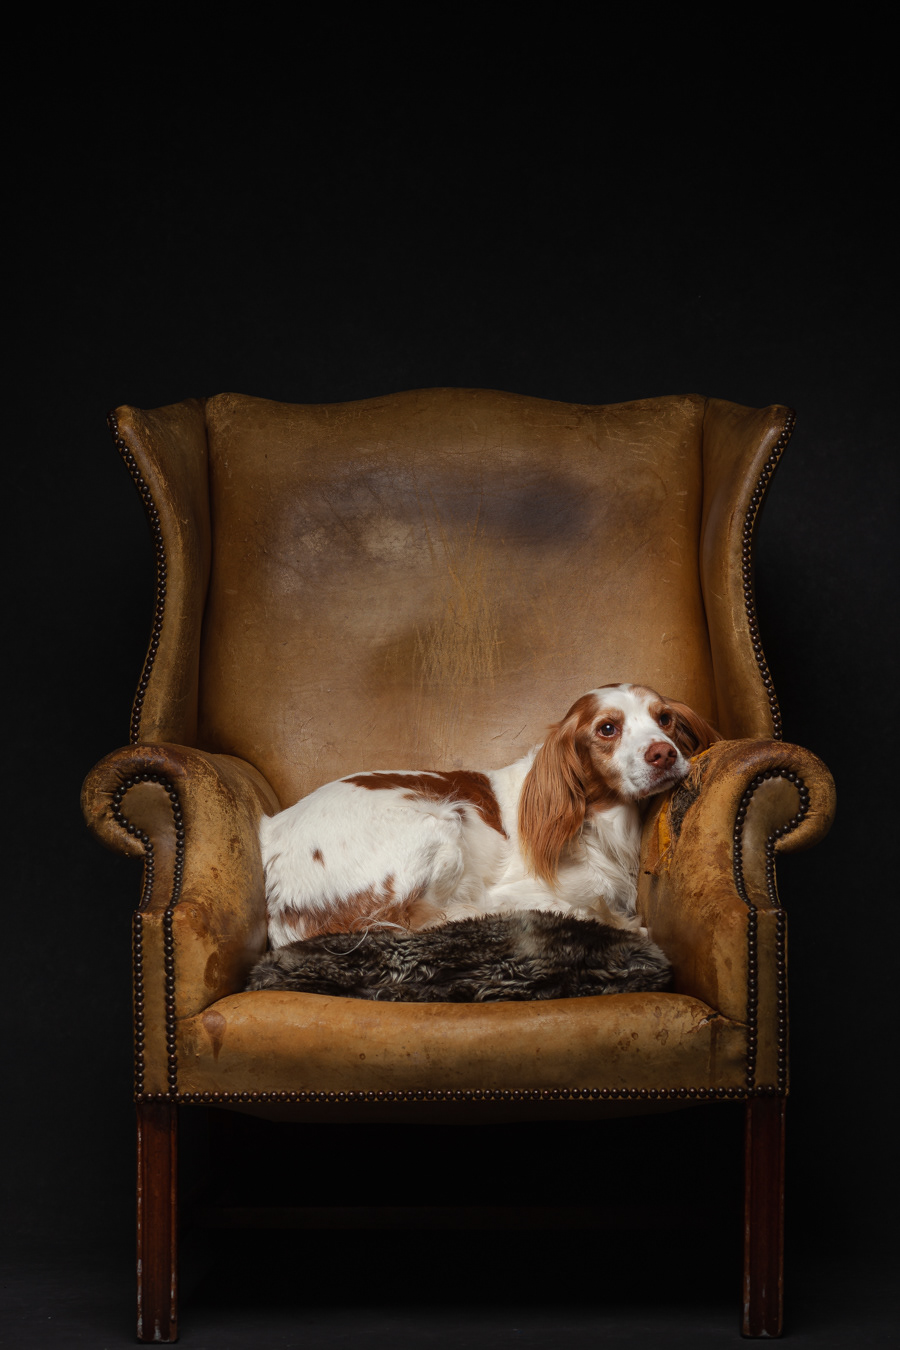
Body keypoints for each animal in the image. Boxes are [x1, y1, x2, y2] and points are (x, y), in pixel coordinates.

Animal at [260, 683, 720, 949]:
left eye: (665, 718)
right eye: (608, 729)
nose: (664, 754)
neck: (595, 820)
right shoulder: (512, 888)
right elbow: (578, 905)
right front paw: (615, 920)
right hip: (441, 821)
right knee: (421, 921)